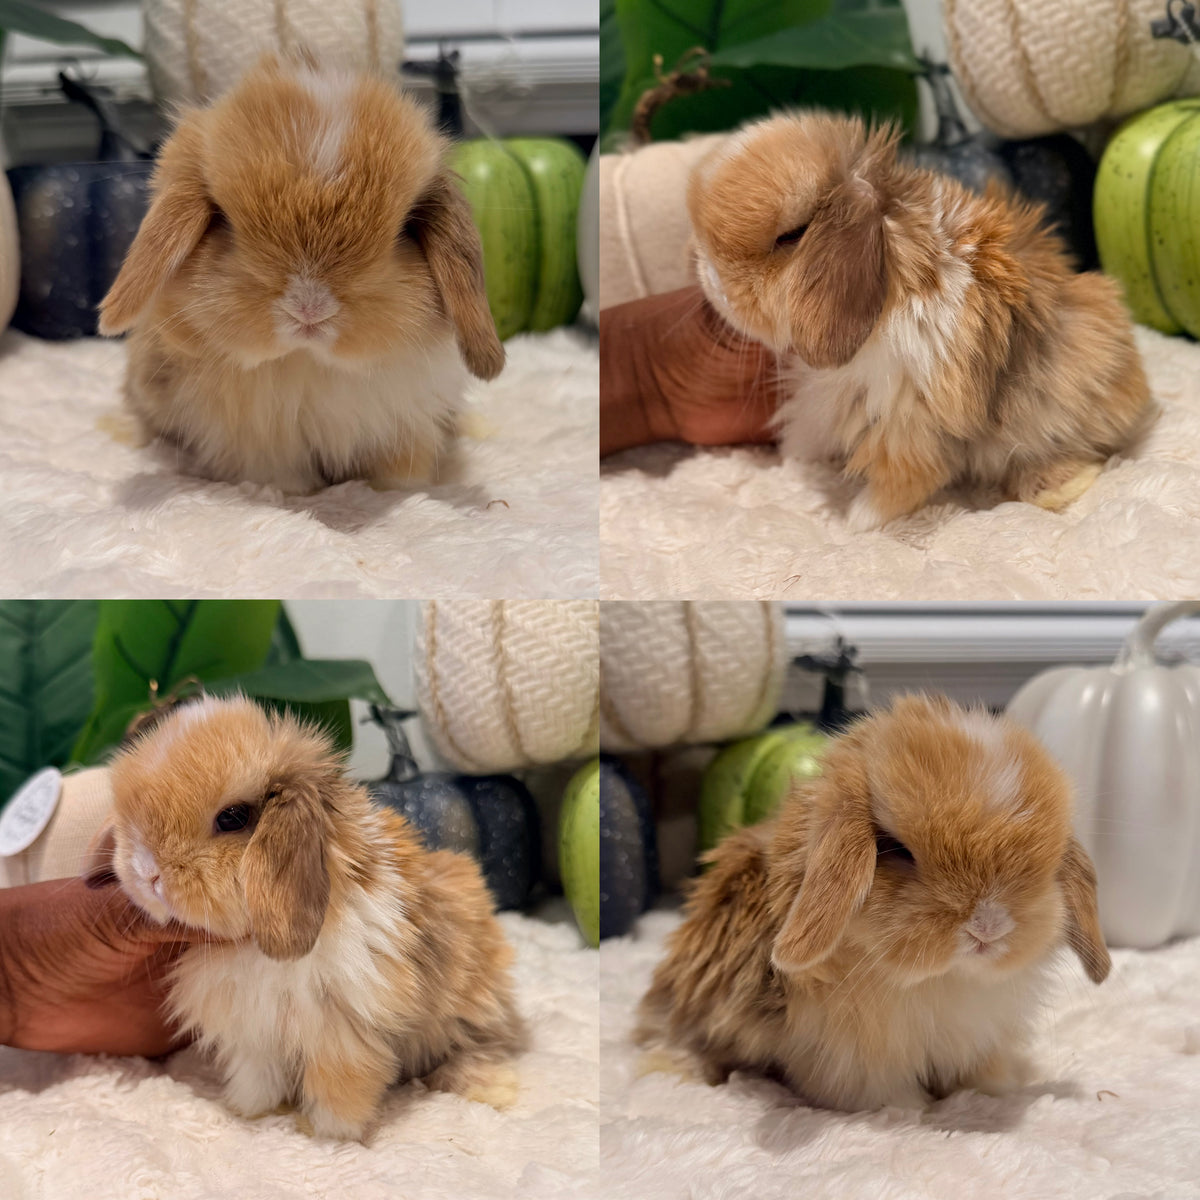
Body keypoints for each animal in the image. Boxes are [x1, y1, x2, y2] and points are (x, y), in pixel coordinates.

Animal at [87, 695, 524, 1141]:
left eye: (232, 817)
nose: (146, 872)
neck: (253, 949)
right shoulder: (255, 1036)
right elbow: (257, 1081)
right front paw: (253, 1114)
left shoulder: (341, 1037)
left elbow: (338, 1093)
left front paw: (323, 1134)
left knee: (472, 1050)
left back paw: (495, 1089)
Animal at [98, 53, 505, 494]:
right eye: (223, 220)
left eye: (404, 229)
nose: (310, 309)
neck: (307, 363)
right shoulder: (256, 441)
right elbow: (278, 474)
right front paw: (293, 493)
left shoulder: (407, 424)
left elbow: (399, 470)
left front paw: (401, 490)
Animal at [636, 693, 1111, 1112]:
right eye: (895, 848)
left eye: (1048, 860)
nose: (989, 926)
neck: (942, 980)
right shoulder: (851, 1058)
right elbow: (881, 1092)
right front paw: (906, 1112)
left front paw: (995, 1092)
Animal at [687, 111, 1154, 530]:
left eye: (790, 236)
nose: (707, 278)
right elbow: (809, 433)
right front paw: (795, 462)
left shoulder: (909, 421)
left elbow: (905, 480)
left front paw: (856, 521)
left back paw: (1054, 486)